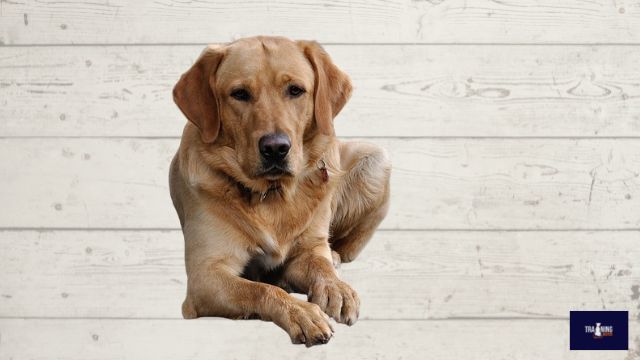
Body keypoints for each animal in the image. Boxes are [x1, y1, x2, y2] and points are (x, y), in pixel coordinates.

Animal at [170, 36, 390, 346]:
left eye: (295, 90)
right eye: (239, 94)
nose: (276, 148)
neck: (272, 194)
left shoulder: (308, 249)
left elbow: (320, 266)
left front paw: (336, 287)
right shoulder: (205, 275)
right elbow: (260, 289)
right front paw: (300, 310)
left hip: (376, 160)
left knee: (344, 248)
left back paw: (334, 259)